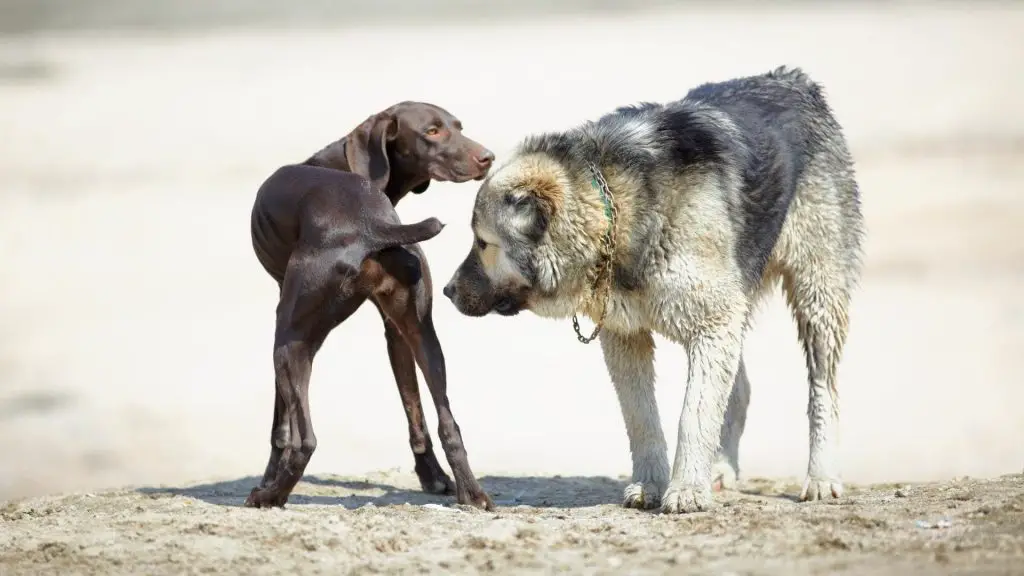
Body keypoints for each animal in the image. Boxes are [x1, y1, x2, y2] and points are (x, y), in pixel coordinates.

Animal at [241, 101, 493, 506]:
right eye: (434, 130)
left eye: (458, 127)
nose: (488, 158)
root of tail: (370, 225)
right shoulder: (397, 332)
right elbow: (415, 412)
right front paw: (432, 477)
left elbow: (280, 426)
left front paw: (268, 474)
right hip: (424, 337)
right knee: (449, 423)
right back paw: (472, 495)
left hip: (289, 340)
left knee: (306, 441)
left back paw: (270, 495)